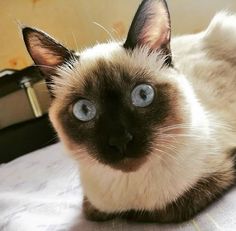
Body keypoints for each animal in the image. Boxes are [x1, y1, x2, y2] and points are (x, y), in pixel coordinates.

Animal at [22, 0, 236, 224]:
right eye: (84, 110)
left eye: (143, 95)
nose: (120, 140)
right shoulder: (92, 206)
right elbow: (99, 213)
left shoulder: (220, 173)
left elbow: (171, 209)